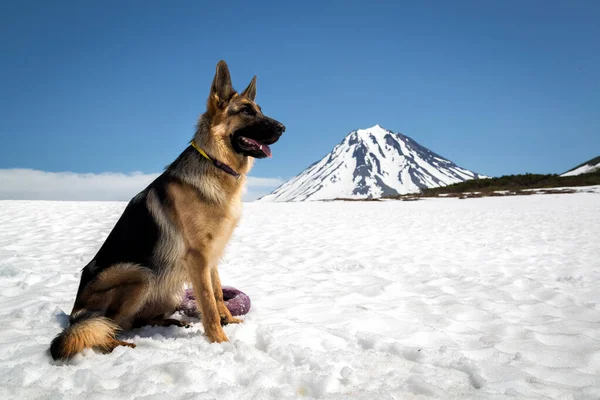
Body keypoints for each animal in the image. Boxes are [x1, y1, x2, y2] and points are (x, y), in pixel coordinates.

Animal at [50, 61, 284, 360]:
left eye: (260, 109)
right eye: (246, 111)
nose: (284, 127)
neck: (215, 162)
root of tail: (73, 314)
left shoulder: (211, 256)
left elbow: (218, 293)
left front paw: (228, 320)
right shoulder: (198, 257)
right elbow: (208, 302)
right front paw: (220, 341)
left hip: (170, 289)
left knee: (133, 320)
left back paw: (170, 322)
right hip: (141, 275)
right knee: (104, 327)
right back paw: (119, 345)